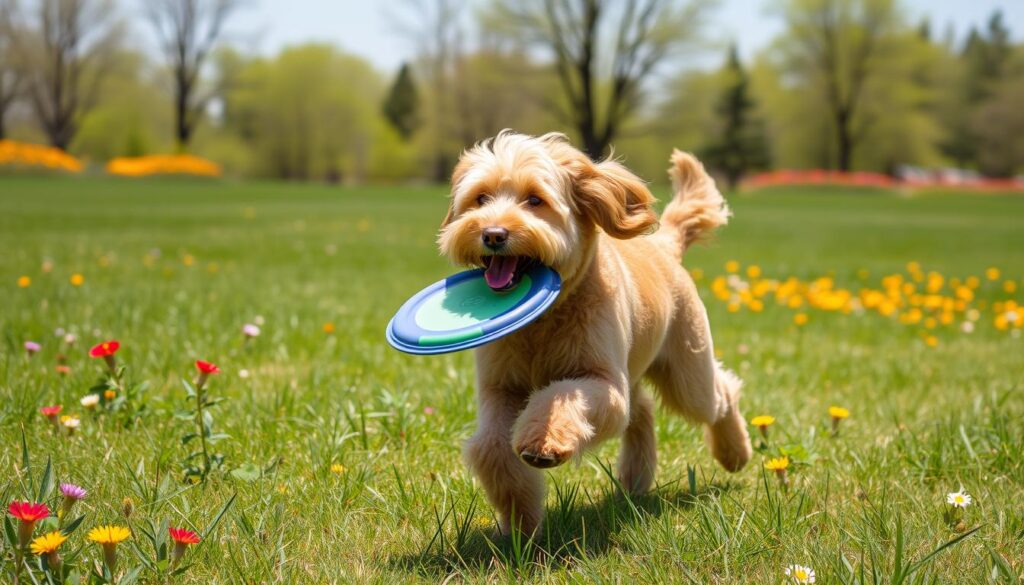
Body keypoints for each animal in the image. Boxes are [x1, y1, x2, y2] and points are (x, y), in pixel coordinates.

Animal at [434, 131, 753, 536]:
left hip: (687, 369)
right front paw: (521, 526)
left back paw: (734, 453)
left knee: (721, 394)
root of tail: (663, 245)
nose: (492, 234)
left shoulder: (603, 381)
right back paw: (635, 481)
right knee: (643, 409)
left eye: (535, 200)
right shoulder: (499, 386)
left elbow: (562, 395)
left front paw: (543, 441)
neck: (542, 323)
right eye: (480, 198)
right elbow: (492, 449)